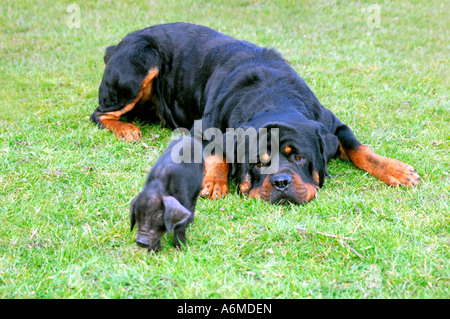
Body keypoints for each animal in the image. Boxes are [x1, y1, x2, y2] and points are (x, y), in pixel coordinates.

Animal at [89, 22, 420, 205]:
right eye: (258, 164)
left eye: (299, 158)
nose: (281, 182)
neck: (271, 96)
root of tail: (116, 44)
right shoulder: (203, 126)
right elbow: (217, 151)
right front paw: (215, 180)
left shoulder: (331, 122)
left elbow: (357, 148)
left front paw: (395, 170)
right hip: (139, 60)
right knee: (100, 114)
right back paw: (126, 129)